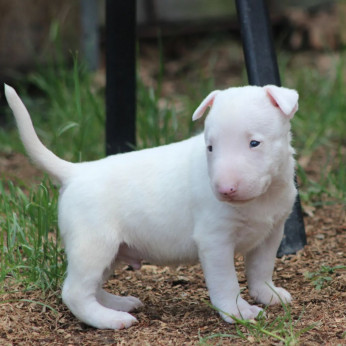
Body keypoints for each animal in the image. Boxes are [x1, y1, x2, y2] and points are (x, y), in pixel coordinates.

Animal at [4, 84, 298, 330]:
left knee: (92, 287)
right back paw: (111, 319)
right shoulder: (215, 241)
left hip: (108, 252)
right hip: (93, 245)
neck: (261, 198)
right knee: (75, 292)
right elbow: (226, 282)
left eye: (254, 143)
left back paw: (118, 303)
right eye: (210, 147)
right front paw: (238, 312)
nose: (224, 190)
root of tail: (75, 172)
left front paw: (268, 294)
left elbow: (261, 268)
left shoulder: (272, 232)